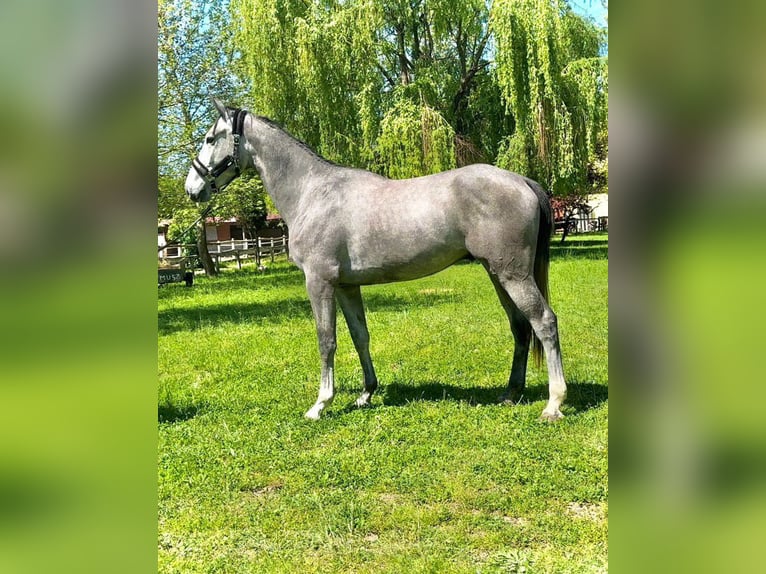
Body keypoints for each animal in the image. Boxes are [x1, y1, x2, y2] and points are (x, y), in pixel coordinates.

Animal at [185, 98, 566, 421]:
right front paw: (366, 394)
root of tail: (522, 181)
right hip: (497, 272)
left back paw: (553, 404)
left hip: (513, 274)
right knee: (520, 327)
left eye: (209, 138)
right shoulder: (346, 286)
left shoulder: (319, 282)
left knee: (544, 322)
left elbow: (326, 340)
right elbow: (360, 336)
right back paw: (510, 393)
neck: (312, 192)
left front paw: (320, 404)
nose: (192, 189)